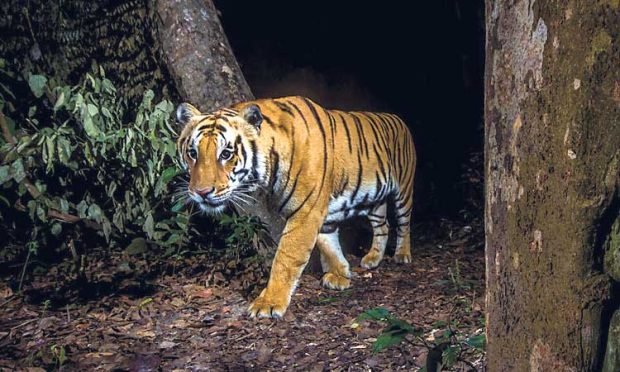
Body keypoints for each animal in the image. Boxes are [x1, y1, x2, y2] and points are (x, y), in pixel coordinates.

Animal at [176, 96, 416, 320]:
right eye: (193, 153)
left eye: (226, 154)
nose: (201, 192)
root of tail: (398, 119)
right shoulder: (321, 213)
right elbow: (328, 244)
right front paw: (340, 275)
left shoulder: (306, 212)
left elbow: (286, 257)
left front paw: (269, 303)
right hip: (374, 199)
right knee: (383, 226)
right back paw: (372, 258)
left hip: (403, 188)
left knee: (404, 223)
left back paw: (402, 255)